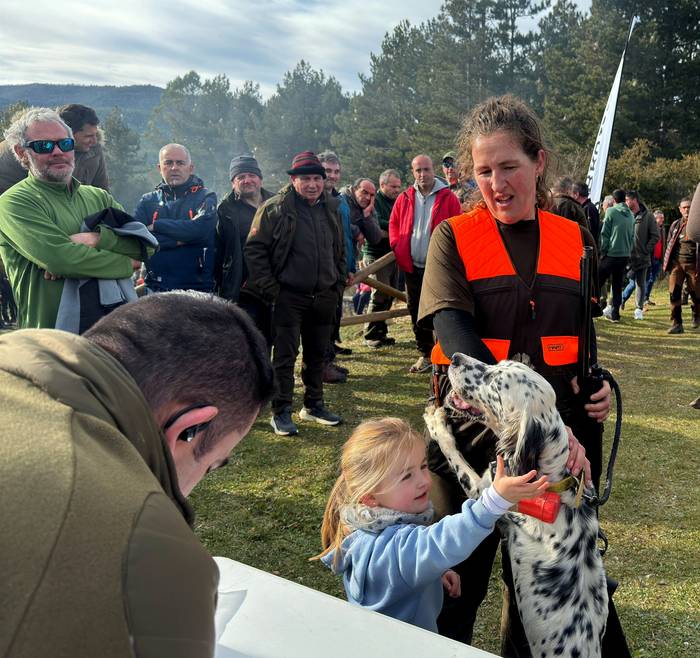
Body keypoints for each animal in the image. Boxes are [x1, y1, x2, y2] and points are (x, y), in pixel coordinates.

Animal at [422, 354, 608, 656]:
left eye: (495, 382)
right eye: (497, 363)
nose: (457, 358)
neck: (550, 478)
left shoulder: (483, 494)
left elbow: (455, 455)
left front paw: (437, 423)